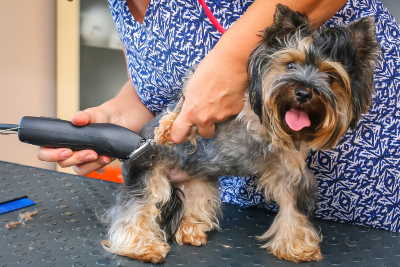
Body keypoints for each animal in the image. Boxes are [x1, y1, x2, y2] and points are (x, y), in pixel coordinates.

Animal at [100, 3, 378, 264]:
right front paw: (169, 126)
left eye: (330, 76)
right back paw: (142, 247)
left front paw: (297, 247)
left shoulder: (289, 167)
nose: (303, 92)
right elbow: (187, 100)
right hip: (148, 172)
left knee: (196, 204)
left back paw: (192, 231)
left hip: (198, 182)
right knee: (138, 208)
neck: (263, 123)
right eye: (290, 64)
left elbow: (293, 209)